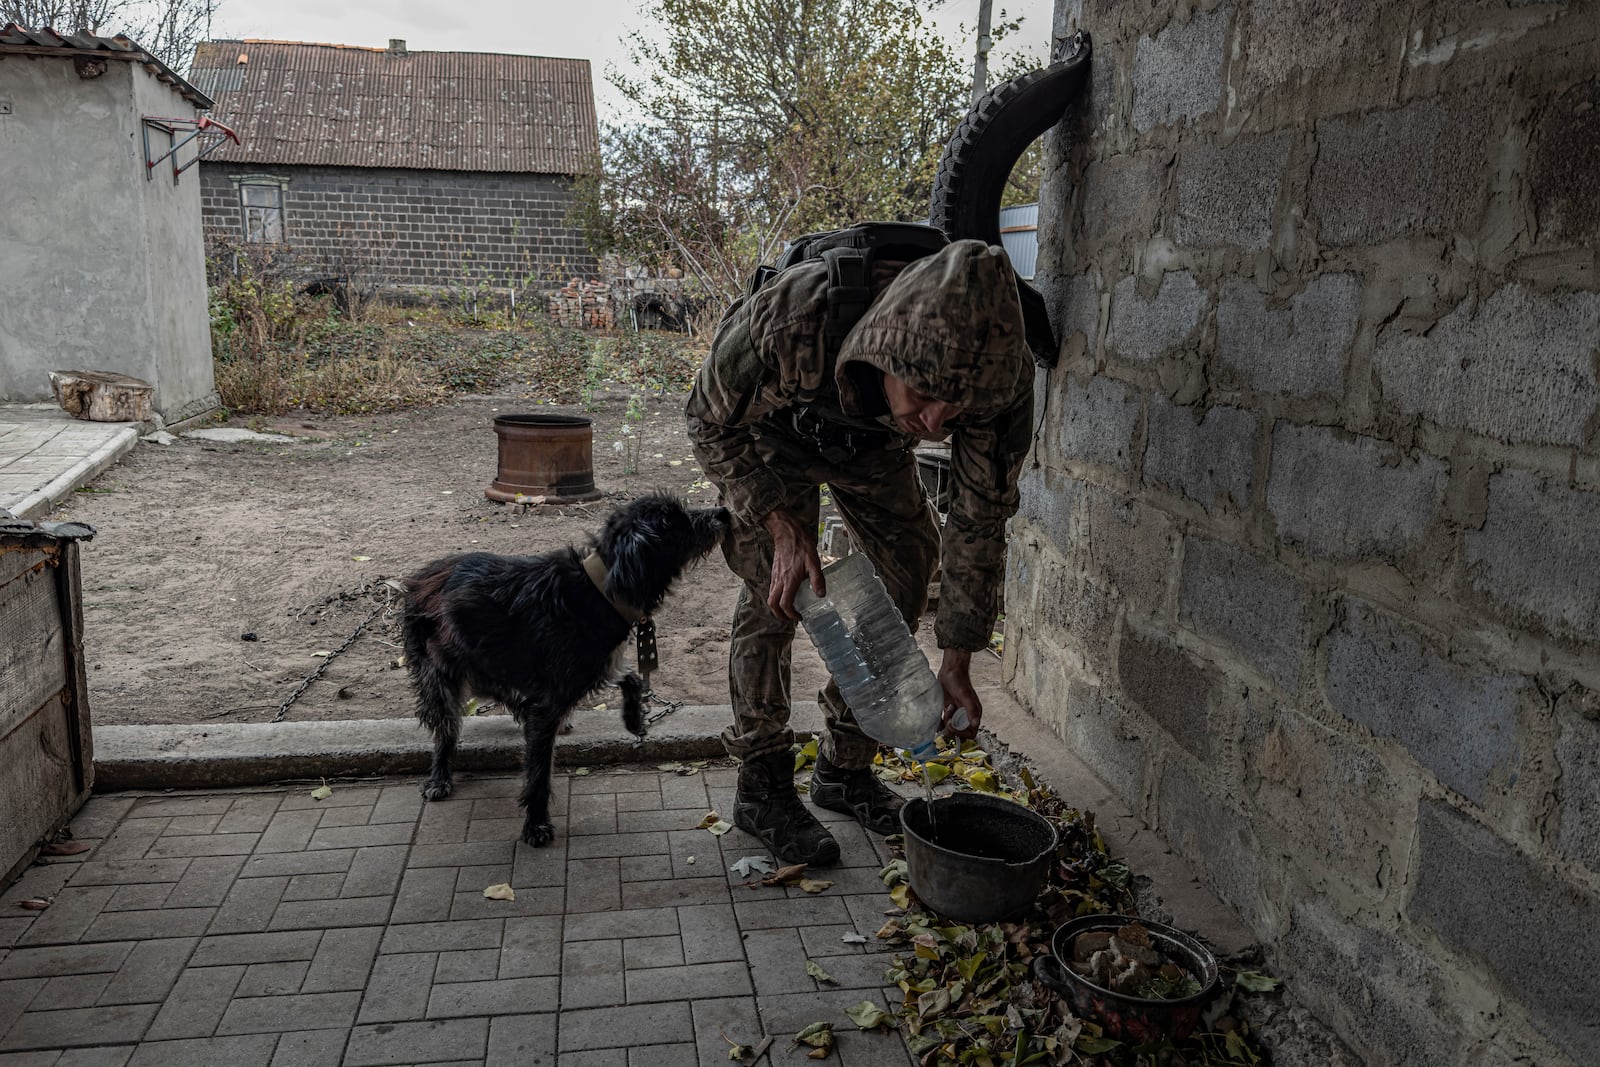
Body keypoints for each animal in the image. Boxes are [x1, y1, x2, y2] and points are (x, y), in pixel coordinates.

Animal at [403, 495, 729, 844]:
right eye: (676, 522)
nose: (722, 512)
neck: (602, 587)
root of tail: (420, 576)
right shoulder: (549, 703)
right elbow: (538, 774)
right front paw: (536, 825)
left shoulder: (595, 668)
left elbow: (628, 678)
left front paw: (634, 718)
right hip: (441, 671)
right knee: (446, 728)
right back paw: (439, 777)